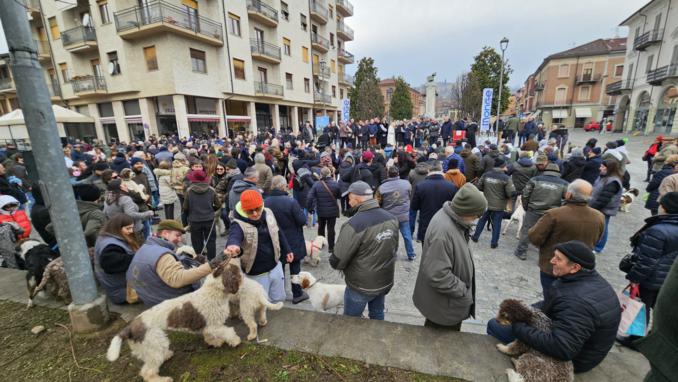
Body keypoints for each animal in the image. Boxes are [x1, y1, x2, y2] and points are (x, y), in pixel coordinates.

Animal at [106, 260, 244, 382]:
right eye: (236, 271)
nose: (242, 275)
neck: (214, 291)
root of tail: (129, 328)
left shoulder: (208, 326)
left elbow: (209, 335)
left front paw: (214, 342)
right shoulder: (214, 325)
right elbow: (228, 331)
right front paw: (235, 341)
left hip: (149, 347)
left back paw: (166, 355)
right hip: (155, 343)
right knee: (147, 372)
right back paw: (162, 379)